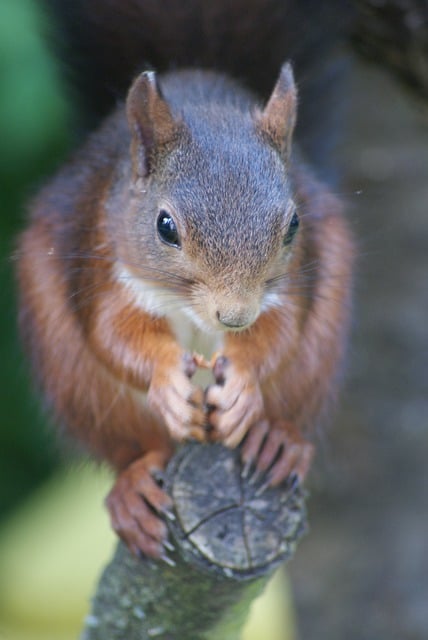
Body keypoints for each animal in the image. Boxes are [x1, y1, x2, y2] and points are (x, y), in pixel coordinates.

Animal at [15, 1, 354, 560]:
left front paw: (243, 385)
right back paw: (133, 488)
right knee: (132, 447)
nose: (235, 317)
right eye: (165, 226)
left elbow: (278, 334)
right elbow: (112, 334)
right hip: (78, 383)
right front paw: (167, 380)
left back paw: (277, 441)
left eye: (294, 224)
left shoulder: (284, 293)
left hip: (318, 355)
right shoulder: (107, 270)